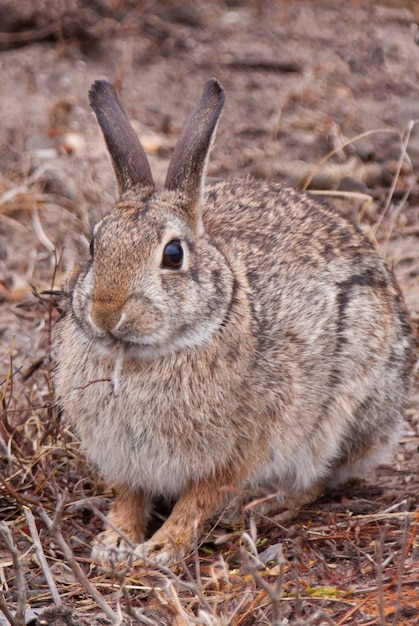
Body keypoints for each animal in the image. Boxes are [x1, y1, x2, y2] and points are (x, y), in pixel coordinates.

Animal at [54, 78, 416, 564]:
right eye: (94, 245)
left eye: (173, 254)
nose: (106, 313)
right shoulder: (125, 461)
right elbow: (129, 496)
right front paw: (114, 543)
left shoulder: (237, 453)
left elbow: (197, 500)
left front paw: (162, 549)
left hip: (345, 409)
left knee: (319, 477)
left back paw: (262, 504)